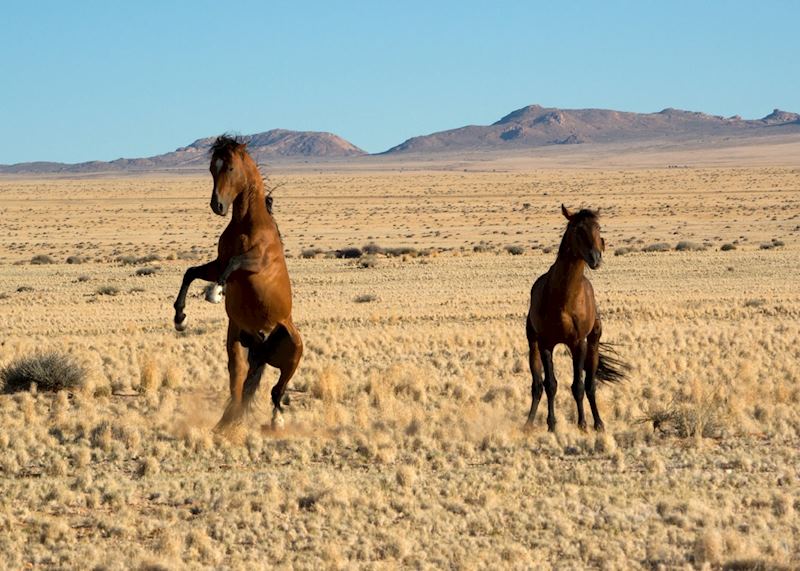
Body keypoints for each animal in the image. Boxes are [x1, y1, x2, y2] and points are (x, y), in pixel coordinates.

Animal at [172, 135, 303, 430]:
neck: (247, 225)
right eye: (211, 168)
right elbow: (190, 272)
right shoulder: (217, 264)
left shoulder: (255, 265)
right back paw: (224, 423)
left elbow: (233, 264)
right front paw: (180, 318)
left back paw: (277, 421)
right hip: (237, 343)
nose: (217, 206)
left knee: (276, 390)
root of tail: (262, 345)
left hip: (293, 352)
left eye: (230, 168)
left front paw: (216, 293)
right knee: (239, 384)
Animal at [525, 205, 628, 432]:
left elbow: (579, 385)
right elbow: (550, 385)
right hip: (533, 345)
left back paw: (598, 422)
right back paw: (529, 422)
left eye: (598, 227)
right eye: (578, 229)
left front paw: (582, 423)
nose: (596, 258)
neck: (564, 300)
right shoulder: (546, 343)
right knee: (537, 386)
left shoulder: (578, 343)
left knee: (590, 384)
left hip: (593, 344)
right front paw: (551, 424)